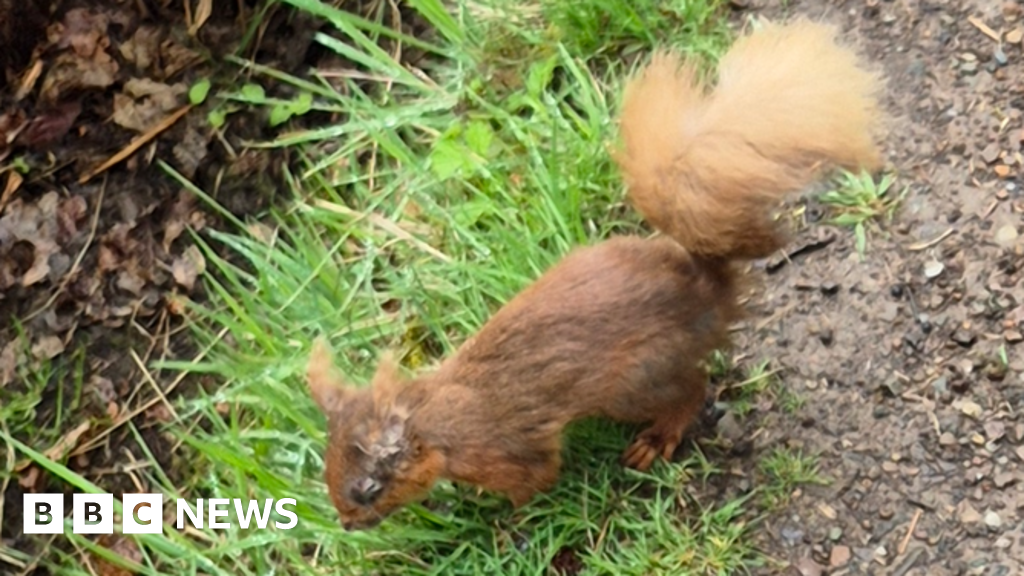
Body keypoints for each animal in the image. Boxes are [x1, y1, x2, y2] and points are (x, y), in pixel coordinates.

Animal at [306, 19, 883, 530]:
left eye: (368, 488)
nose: (347, 525)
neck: (436, 418)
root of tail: (706, 290)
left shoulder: (508, 451)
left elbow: (535, 480)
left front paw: (503, 522)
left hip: (638, 379)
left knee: (693, 388)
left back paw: (657, 438)